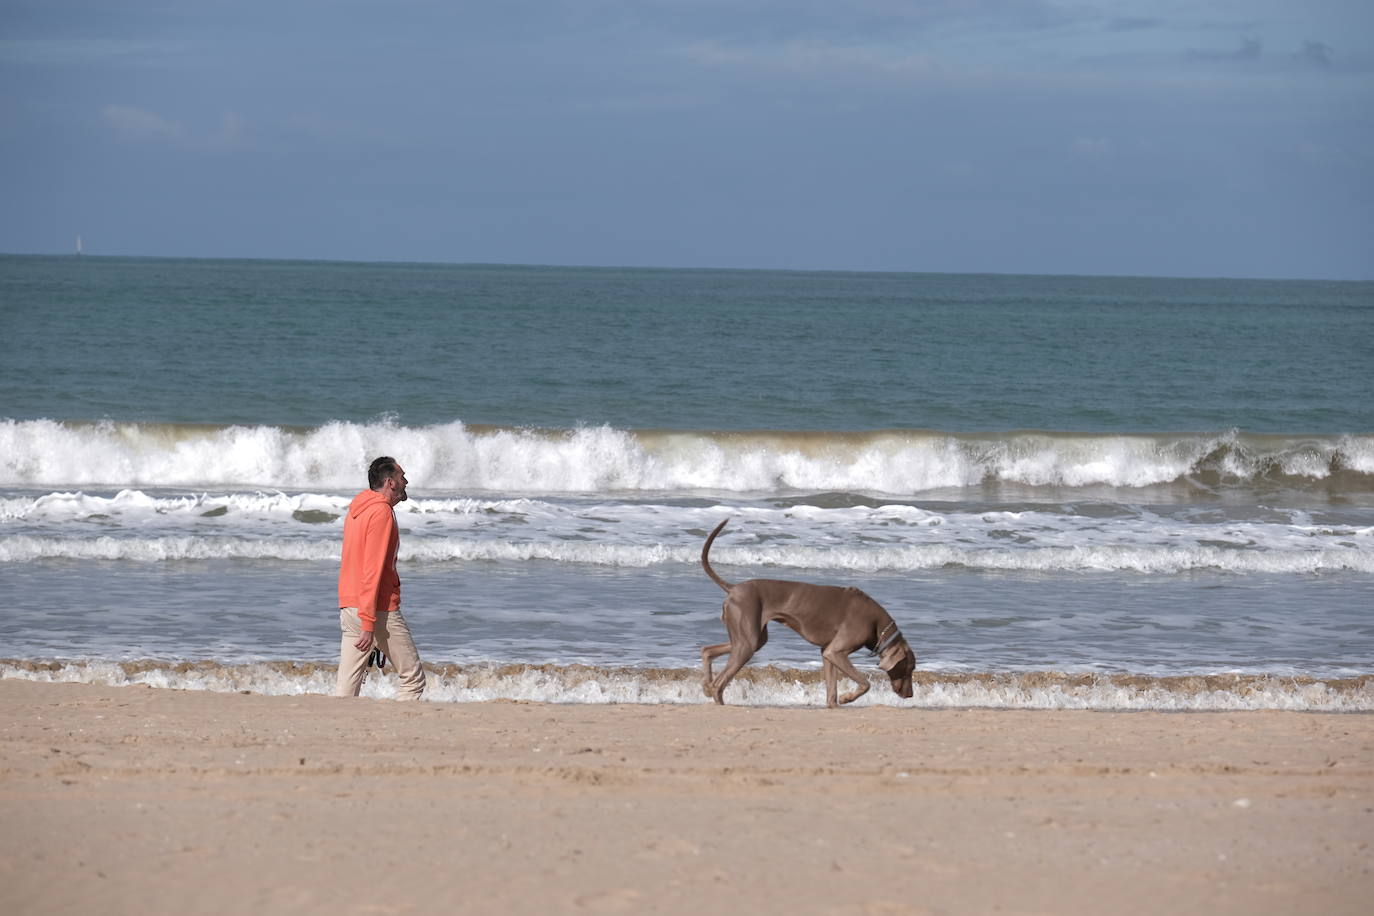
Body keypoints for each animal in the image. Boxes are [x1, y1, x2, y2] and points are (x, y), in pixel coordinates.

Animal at [703, 519, 917, 708]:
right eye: (909, 668)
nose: (910, 695)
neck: (877, 624)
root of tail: (733, 588)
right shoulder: (836, 651)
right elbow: (865, 683)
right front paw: (847, 698)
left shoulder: (827, 652)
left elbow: (831, 689)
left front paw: (834, 704)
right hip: (748, 640)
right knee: (719, 684)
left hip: (750, 637)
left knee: (707, 650)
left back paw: (706, 685)